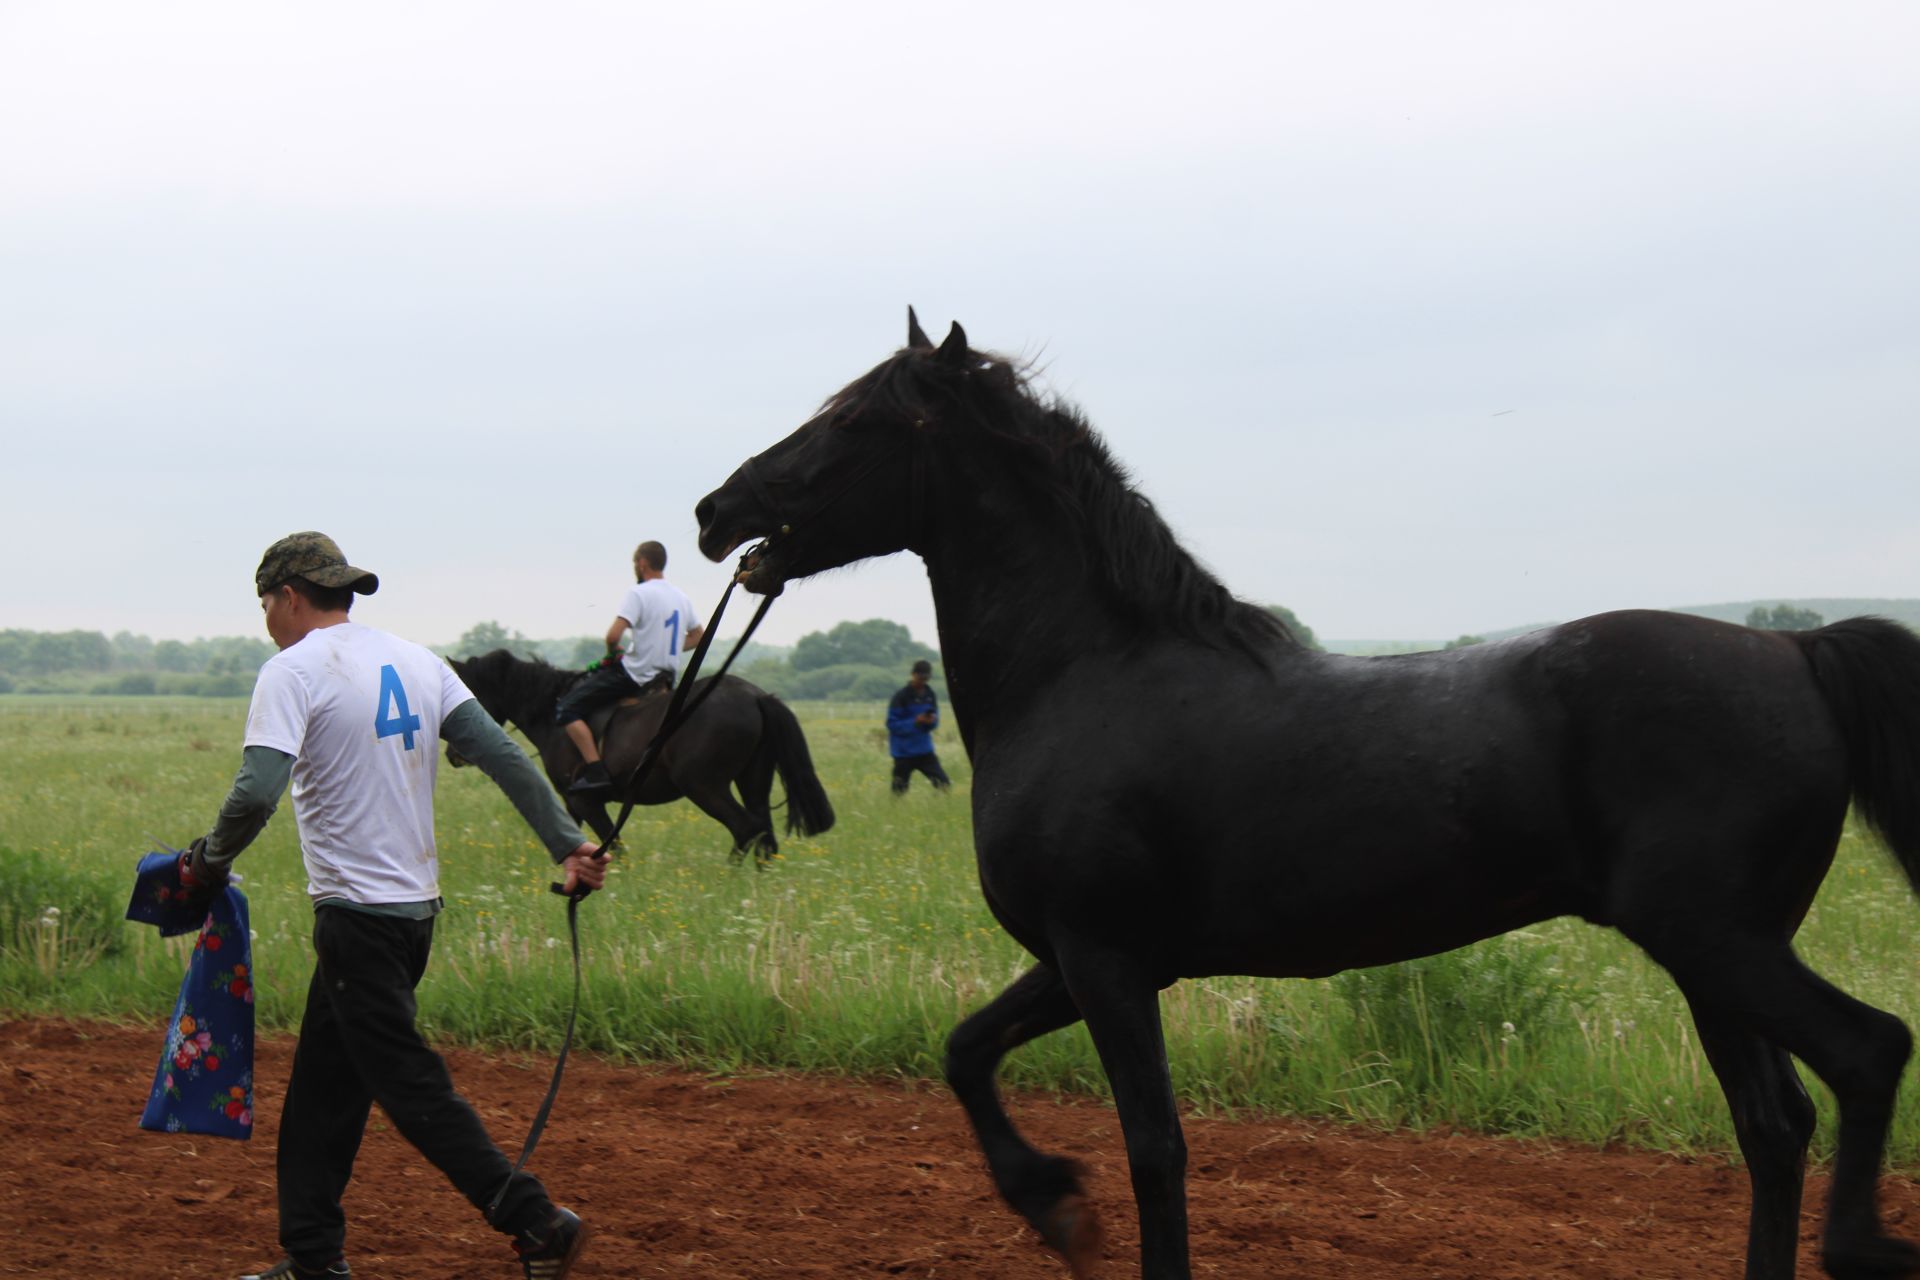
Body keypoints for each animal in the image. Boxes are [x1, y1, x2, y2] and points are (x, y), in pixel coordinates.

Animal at [456, 652, 840, 859]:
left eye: (467, 691)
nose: (453, 755)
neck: (552, 716)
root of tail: (756, 695)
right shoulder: (570, 803)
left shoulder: (585, 801)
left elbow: (614, 846)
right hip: (752, 780)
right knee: (764, 835)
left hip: (704, 786)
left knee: (746, 829)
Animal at [698, 312, 1920, 1280]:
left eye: (857, 420)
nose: (717, 509)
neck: (1087, 672)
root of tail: (1797, 649)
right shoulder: (1087, 957)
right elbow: (965, 1051)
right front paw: (1054, 1204)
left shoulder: (1104, 958)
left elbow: (1155, 1149)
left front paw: (1081, 1213)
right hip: (1717, 956)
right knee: (1775, 1125)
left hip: (1715, 939)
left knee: (1868, 1053)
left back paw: (1865, 1244)